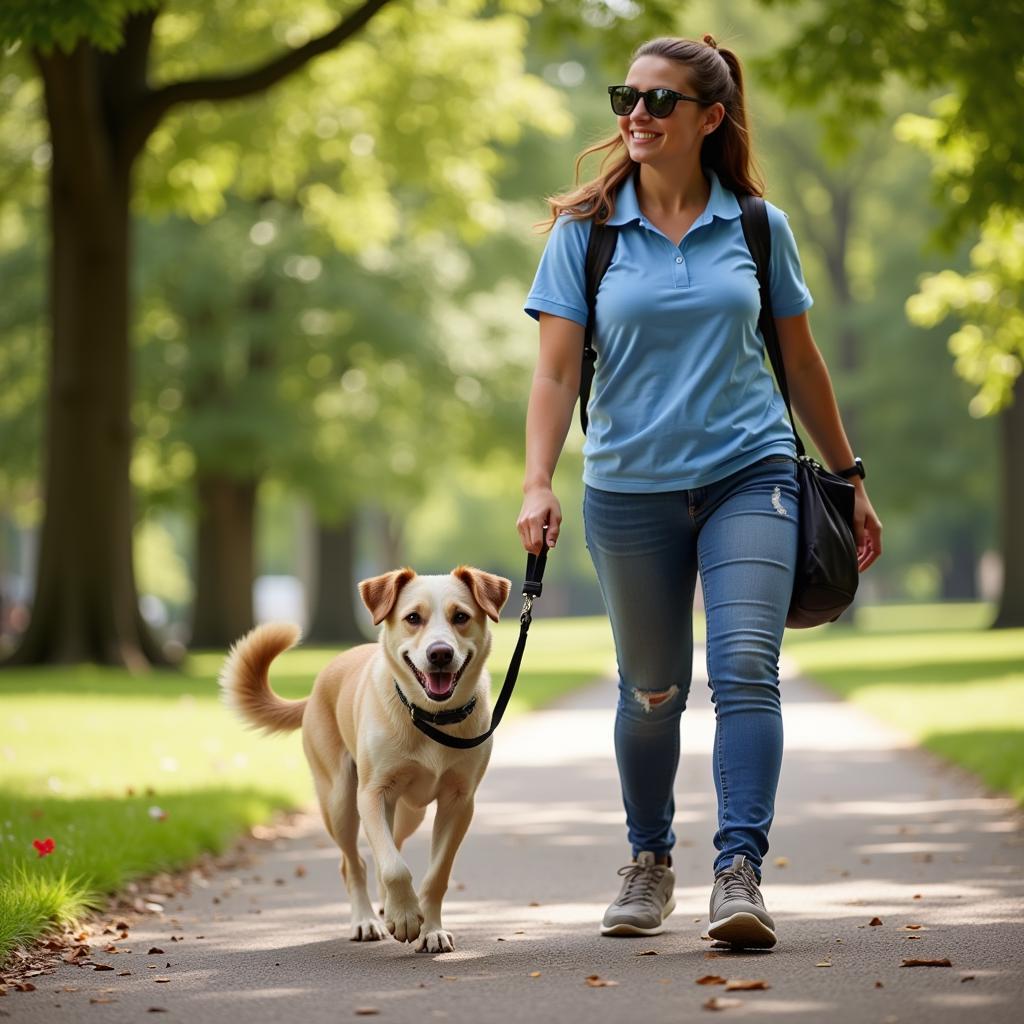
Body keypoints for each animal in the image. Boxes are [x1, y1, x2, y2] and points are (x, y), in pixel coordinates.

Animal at [223, 569, 512, 950]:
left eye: (460, 616)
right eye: (413, 618)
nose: (439, 653)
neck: (429, 719)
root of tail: (315, 689)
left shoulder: (459, 801)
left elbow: (436, 873)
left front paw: (430, 928)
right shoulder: (373, 794)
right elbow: (394, 867)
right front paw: (405, 917)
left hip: (411, 812)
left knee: (389, 848)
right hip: (340, 802)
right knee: (355, 864)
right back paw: (366, 920)